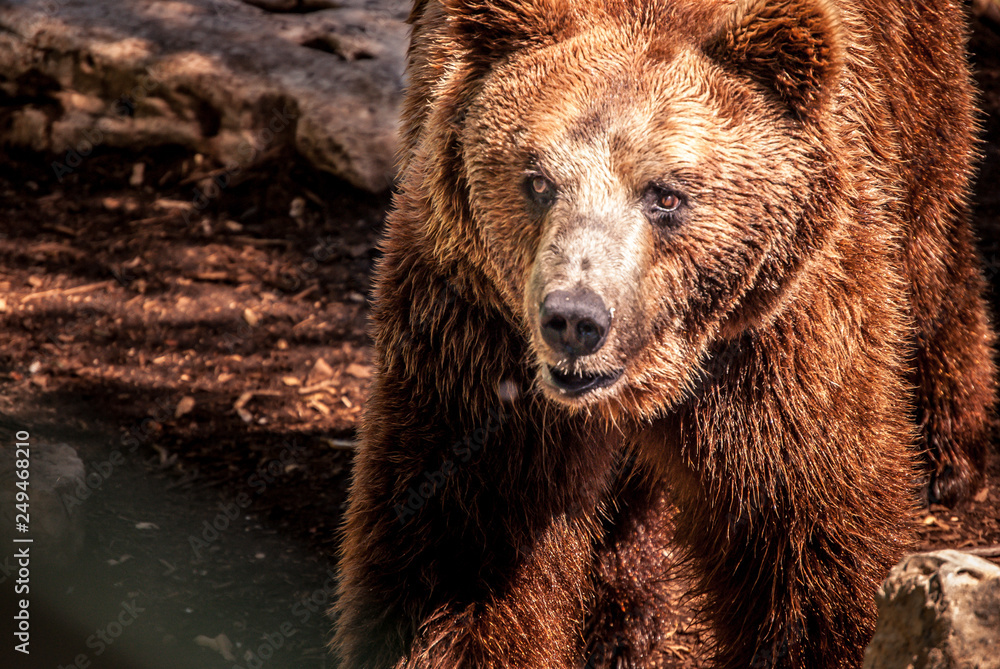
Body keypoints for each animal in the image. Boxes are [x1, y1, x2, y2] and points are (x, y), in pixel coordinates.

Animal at [333, 0, 997, 667]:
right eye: (538, 181)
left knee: (933, 243)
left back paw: (948, 452)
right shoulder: (473, 328)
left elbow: (807, 533)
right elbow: (461, 540)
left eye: (667, 196)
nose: (575, 319)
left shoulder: (778, 333)